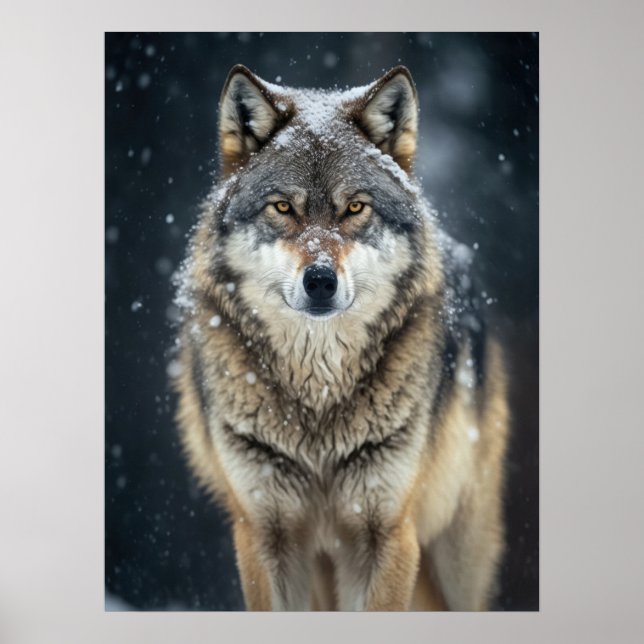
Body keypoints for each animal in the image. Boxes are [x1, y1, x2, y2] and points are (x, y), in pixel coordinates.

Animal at [173, 64, 509, 611]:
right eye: (282, 207)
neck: (318, 399)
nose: (320, 281)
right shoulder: (263, 532)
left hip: (457, 558)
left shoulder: (388, 534)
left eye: (354, 208)